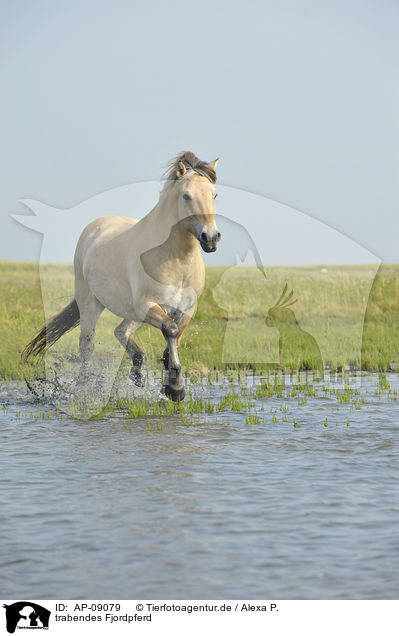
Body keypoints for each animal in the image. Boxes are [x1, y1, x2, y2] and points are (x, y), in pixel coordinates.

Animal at [23, 152, 222, 400]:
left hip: (134, 312)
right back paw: (84, 388)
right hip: (92, 305)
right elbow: (170, 330)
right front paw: (176, 388)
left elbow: (171, 342)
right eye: (186, 196)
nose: (210, 238)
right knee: (87, 346)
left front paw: (171, 387)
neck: (177, 260)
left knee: (120, 331)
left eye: (214, 194)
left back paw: (138, 370)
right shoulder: (149, 305)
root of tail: (93, 228)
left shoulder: (185, 310)